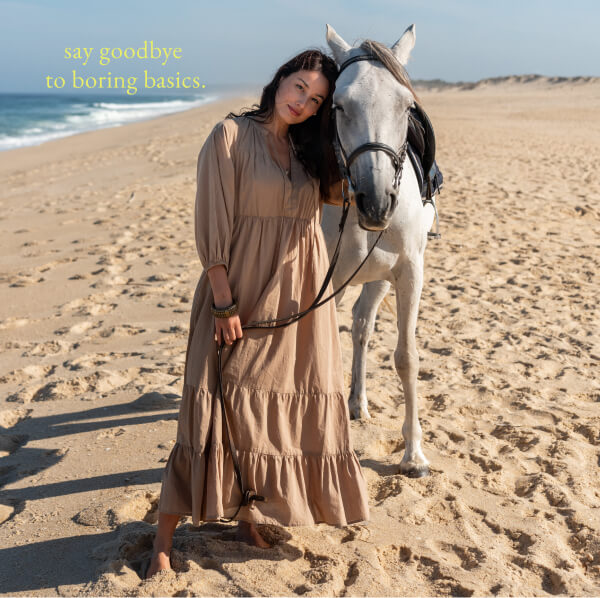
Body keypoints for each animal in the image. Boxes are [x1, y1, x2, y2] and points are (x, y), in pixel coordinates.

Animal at [322, 25, 438, 480]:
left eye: (406, 105)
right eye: (338, 104)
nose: (375, 202)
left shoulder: (409, 274)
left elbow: (407, 358)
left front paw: (414, 455)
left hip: (379, 281)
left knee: (362, 327)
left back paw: (358, 402)